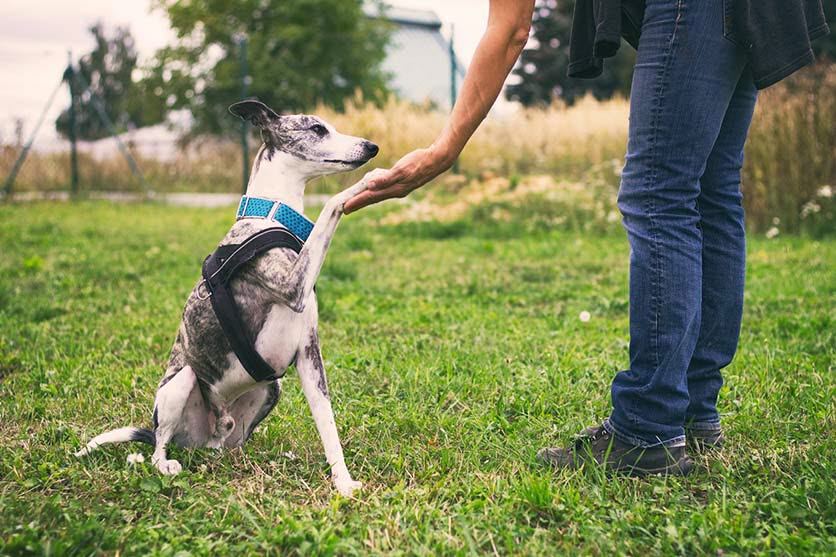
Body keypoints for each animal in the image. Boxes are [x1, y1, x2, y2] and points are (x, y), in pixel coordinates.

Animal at [76, 100, 380, 496]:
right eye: (317, 129)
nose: (371, 147)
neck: (271, 216)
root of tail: (207, 436)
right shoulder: (292, 285)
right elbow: (331, 203)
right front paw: (369, 181)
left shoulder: (308, 354)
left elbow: (327, 423)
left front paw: (343, 482)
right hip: (182, 382)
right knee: (159, 445)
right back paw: (164, 462)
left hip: (272, 389)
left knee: (231, 445)